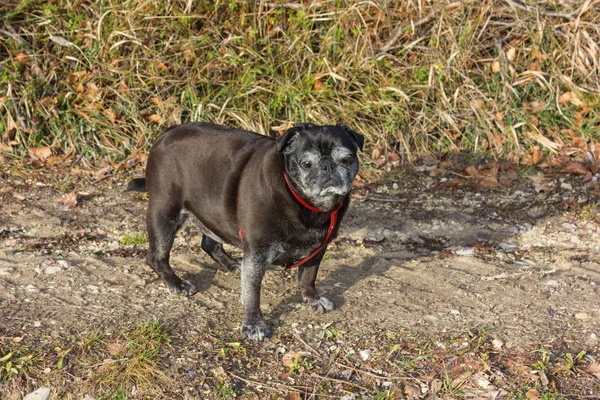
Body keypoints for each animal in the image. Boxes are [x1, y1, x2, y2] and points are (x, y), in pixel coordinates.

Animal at [127, 122, 364, 340]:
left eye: (347, 159)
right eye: (306, 164)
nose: (328, 167)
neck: (305, 204)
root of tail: (167, 133)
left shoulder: (317, 249)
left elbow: (308, 277)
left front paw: (312, 299)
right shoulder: (257, 252)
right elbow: (252, 291)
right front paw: (254, 324)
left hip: (212, 213)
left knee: (209, 243)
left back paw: (232, 264)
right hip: (165, 214)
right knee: (156, 257)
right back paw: (177, 283)